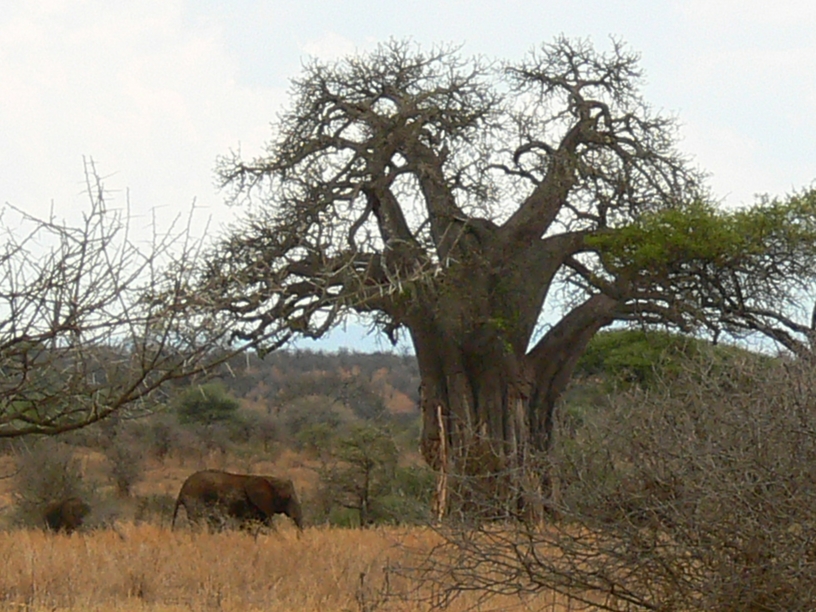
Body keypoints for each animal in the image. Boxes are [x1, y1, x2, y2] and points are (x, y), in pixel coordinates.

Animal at [171, 469, 303, 532]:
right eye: (287, 497)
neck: (269, 479)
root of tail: (183, 487)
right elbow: (268, 524)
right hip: (195, 499)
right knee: (196, 522)